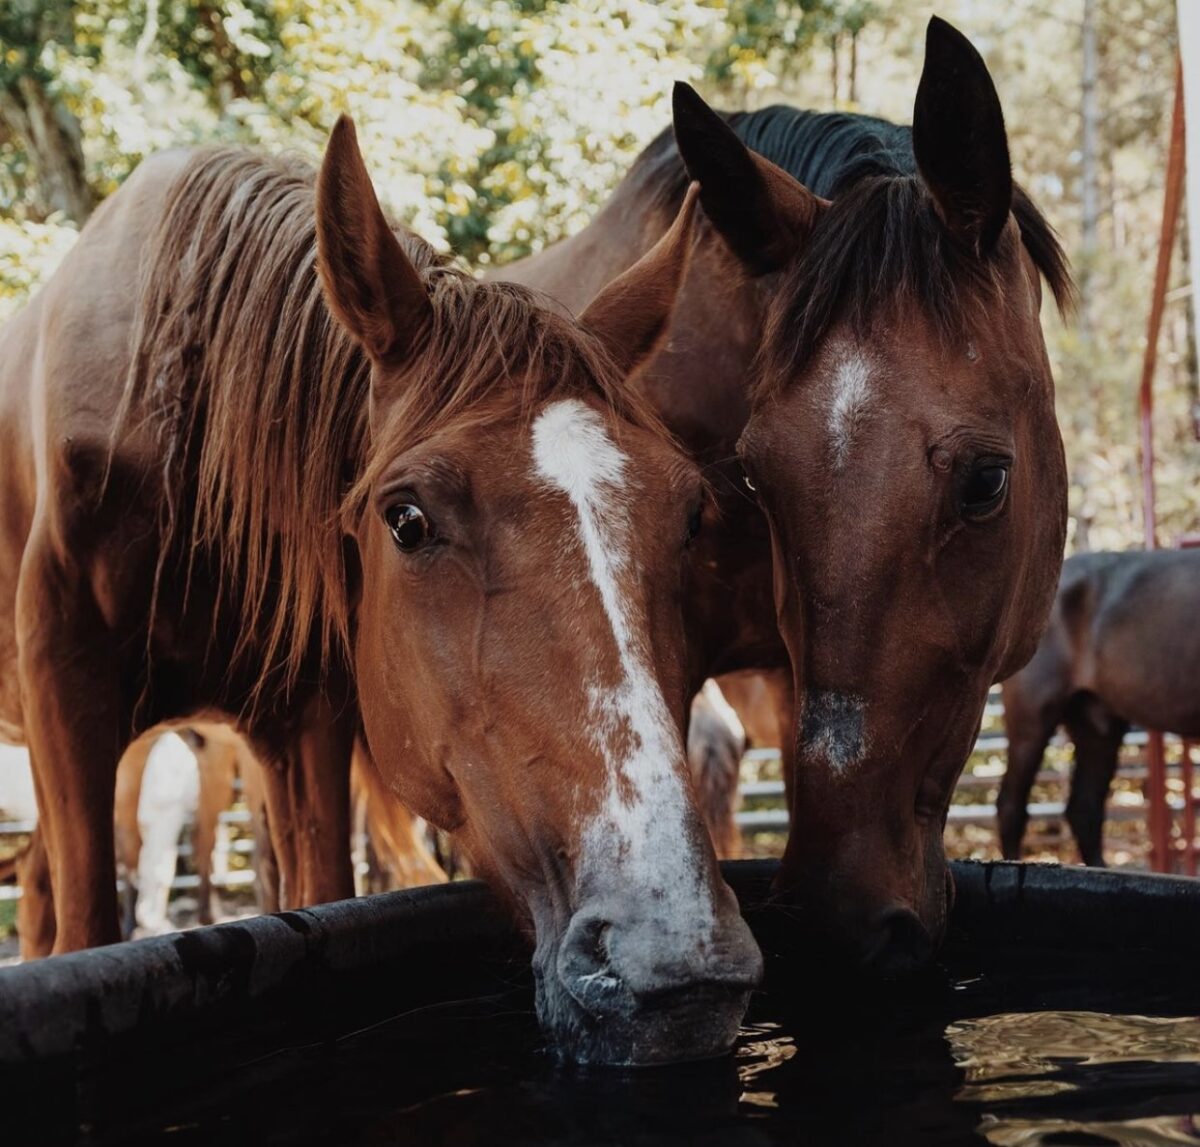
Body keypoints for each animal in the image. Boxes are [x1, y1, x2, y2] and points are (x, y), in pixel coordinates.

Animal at [0, 115, 761, 1063]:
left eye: (689, 515)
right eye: (406, 520)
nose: (679, 957)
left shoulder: (306, 723)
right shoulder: (67, 698)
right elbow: (90, 927)